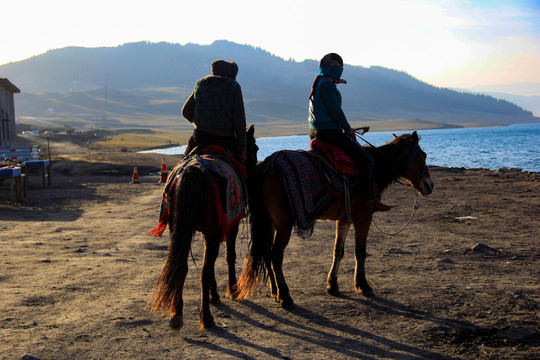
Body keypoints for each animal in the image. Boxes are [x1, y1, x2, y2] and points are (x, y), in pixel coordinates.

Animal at [148, 124, 258, 330]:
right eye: (255, 149)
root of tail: (194, 171)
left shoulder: (210, 232)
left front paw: (214, 295)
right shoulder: (229, 226)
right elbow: (229, 256)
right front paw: (232, 290)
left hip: (179, 229)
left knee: (181, 266)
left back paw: (176, 313)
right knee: (203, 272)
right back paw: (206, 317)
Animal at [236, 131, 434, 308]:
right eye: (423, 155)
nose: (430, 185)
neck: (375, 169)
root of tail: (265, 167)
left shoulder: (344, 219)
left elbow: (338, 251)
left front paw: (332, 285)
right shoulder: (363, 217)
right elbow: (360, 252)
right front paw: (363, 286)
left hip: (269, 222)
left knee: (266, 252)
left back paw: (275, 291)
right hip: (284, 224)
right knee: (275, 254)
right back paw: (285, 296)